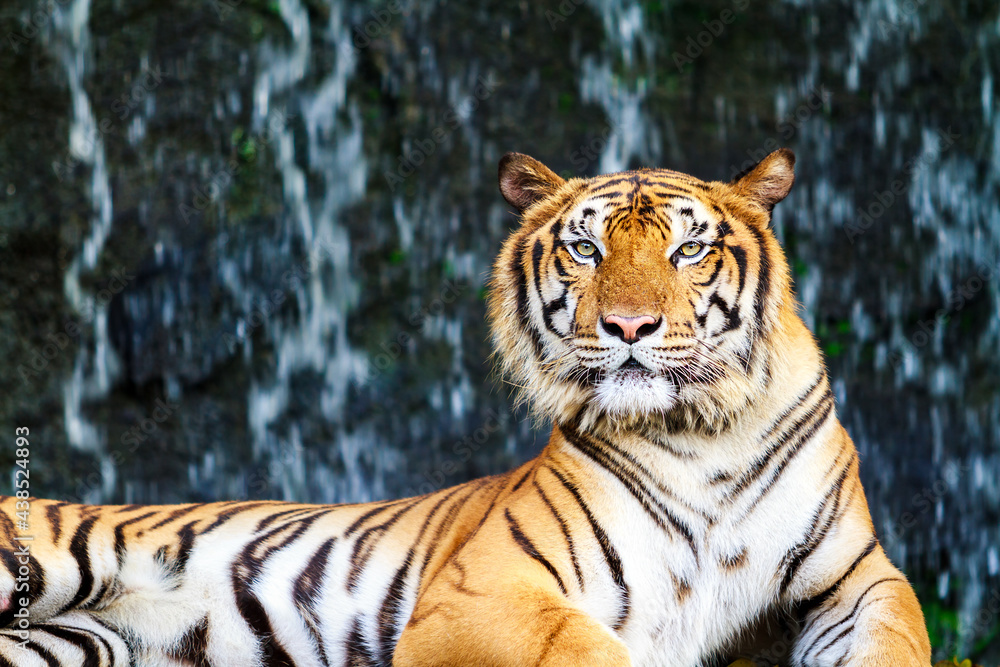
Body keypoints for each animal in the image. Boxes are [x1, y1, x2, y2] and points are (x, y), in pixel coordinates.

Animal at [0, 148, 932, 667]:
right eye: (586, 248)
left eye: (687, 249)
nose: (630, 325)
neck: (705, 435)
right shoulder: (489, 589)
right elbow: (586, 647)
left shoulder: (857, 575)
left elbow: (899, 633)